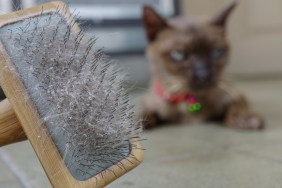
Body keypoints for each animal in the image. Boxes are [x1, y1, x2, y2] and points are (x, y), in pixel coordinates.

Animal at [140, 1, 264, 130]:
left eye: (216, 52)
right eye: (179, 54)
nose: (204, 74)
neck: (190, 100)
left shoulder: (236, 96)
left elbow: (235, 109)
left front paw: (246, 120)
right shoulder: (148, 102)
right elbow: (144, 114)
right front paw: (140, 124)